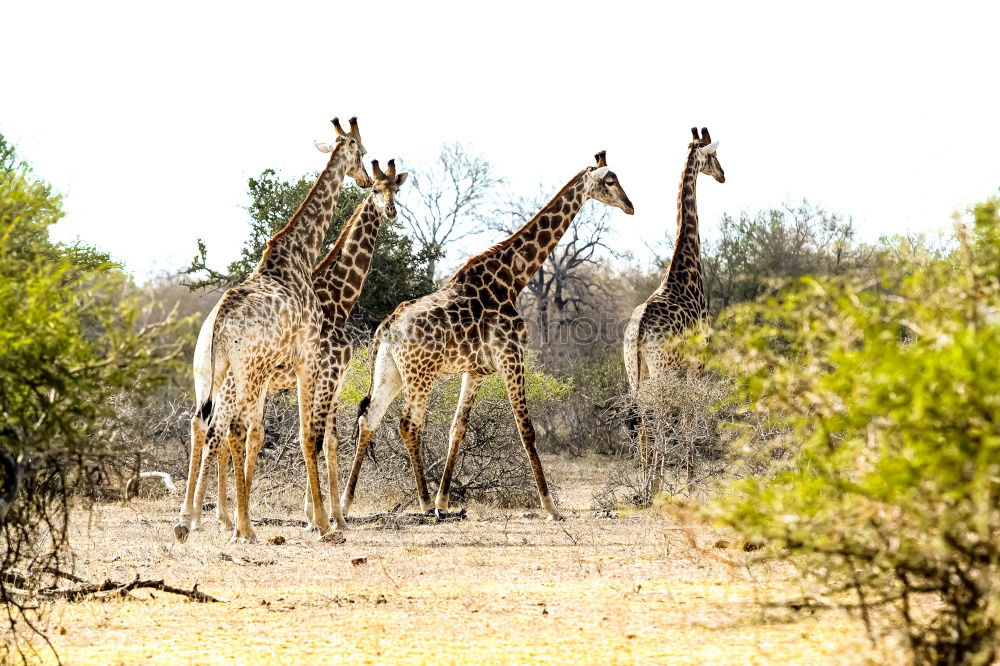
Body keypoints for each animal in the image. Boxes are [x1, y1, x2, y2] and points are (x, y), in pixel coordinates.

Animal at [176, 116, 372, 544]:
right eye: (364, 152)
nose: (366, 180)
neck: (300, 254)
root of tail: (218, 323)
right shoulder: (308, 358)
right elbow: (308, 434)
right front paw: (323, 523)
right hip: (247, 373)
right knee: (232, 430)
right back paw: (243, 528)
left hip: (216, 373)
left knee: (204, 424)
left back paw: (189, 521)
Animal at [336, 152, 632, 520]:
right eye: (609, 181)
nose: (630, 206)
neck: (511, 279)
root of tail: (386, 327)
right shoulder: (511, 356)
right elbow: (527, 429)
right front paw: (550, 505)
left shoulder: (475, 371)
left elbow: (457, 429)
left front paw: (443, 502)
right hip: (421, 374)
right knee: (408, 423)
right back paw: (421, 502)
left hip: (390, 372)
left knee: (370, 419)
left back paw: (346, 502)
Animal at [620, 127, 724, 480]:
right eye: (714, 156)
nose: (723, 175)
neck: (684, 266)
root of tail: (638, 332)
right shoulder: (697, 359)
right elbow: (691, 414)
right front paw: (689, 480)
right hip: (662, 369)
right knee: (659, 419)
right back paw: (657, 482)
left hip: (635, 371)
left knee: (643, 423)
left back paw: (647, 483)